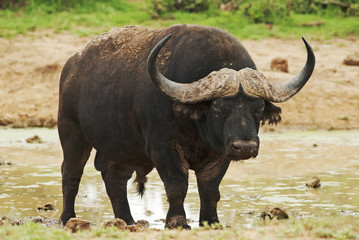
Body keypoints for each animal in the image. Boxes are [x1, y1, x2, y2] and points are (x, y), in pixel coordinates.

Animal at [58, 24, 316, 229]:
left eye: (259, 109)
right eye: (219, 108)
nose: (245, 147)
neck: (197, 129)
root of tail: (72, 66)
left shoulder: (220, 153)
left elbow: (210, 189)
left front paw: (211, 221)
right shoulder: (164, 148)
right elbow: (177, 186)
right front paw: (177, 222)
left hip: (124, 148)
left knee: (115, 178)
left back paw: (128, 220)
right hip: (71, 132)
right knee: (71, 173)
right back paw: (68, 217)